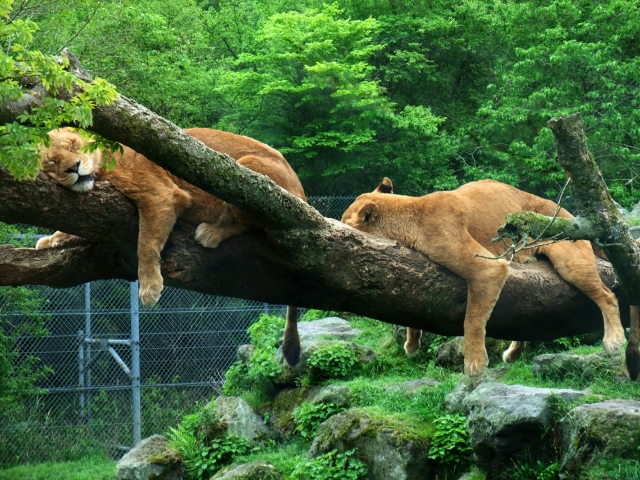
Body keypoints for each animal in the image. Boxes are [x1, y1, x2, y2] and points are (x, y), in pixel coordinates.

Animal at [38, 126, 308, 364]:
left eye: (74, 145)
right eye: (52, 162)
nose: (73, 167)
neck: (102, 167)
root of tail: (302, 194)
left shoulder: (161, 195)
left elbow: (146, 244)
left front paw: (149, 287)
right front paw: (51, 239)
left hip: (249, 174)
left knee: (251, 222)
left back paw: (211, 231)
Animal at [342, 178, 628, 376]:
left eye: (344, 219)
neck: (407, 212)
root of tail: (569, 215)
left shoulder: (488, 268)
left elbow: (473, 319)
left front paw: (475, 363)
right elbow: (415, 310)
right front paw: (412, 344)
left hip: (570, 261)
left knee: (608, 295)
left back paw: (614, 341)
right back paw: (512, 353)